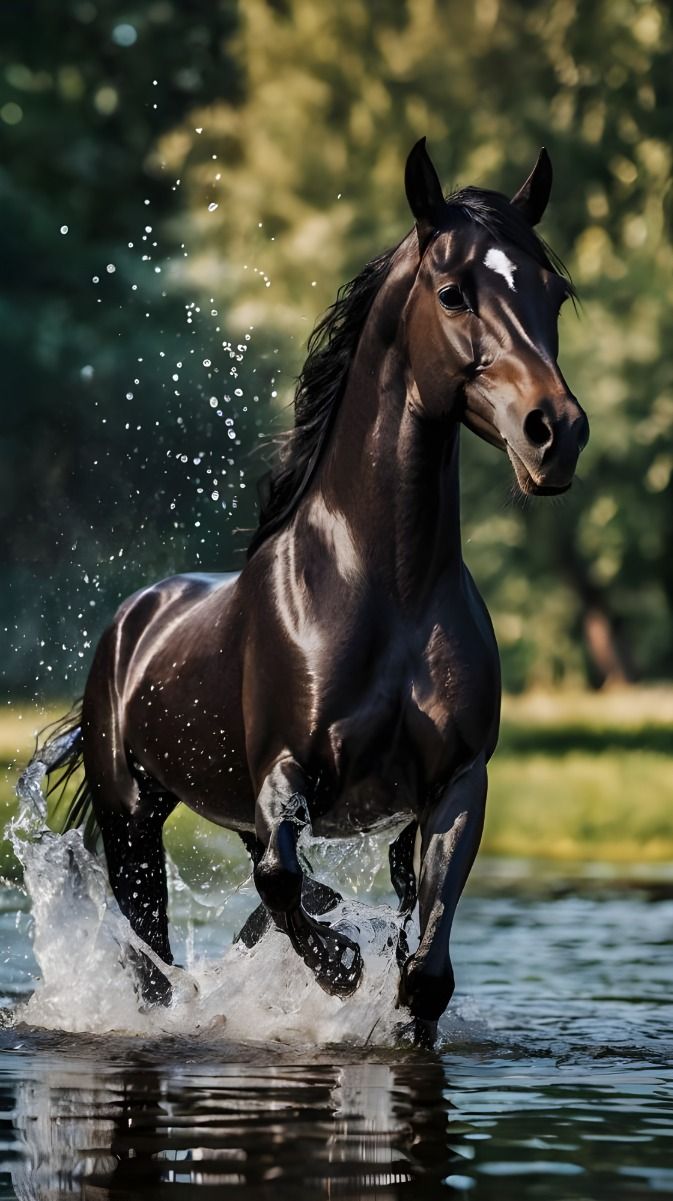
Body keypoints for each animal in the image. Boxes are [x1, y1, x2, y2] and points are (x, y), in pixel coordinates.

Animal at [37, 139, 588, 1044]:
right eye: (451, 291)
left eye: (554, 290)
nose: (555, 434)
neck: (387, 590)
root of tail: (132, 618)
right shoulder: (284, 773)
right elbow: (280, 880)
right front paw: (338, 969)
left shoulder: (454, 786)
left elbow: (423, 970)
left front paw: (382, 999)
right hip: (133, 820)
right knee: (155, 957)